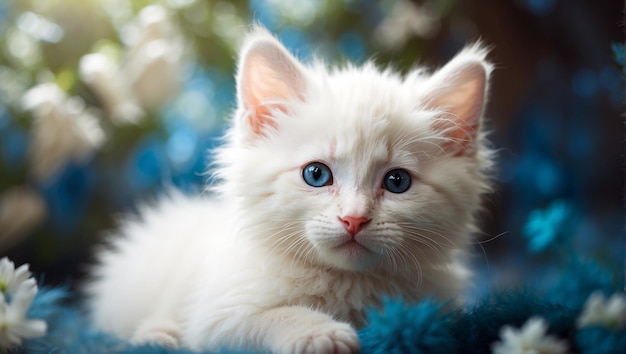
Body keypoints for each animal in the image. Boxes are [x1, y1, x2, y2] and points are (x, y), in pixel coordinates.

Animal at [85, 28, 492, 354]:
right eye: (316, 174)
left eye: (397, 182)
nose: (354, 218)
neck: (347, 284)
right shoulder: (218, 313)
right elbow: (272, 315)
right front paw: (321, 333)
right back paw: (158, 334)